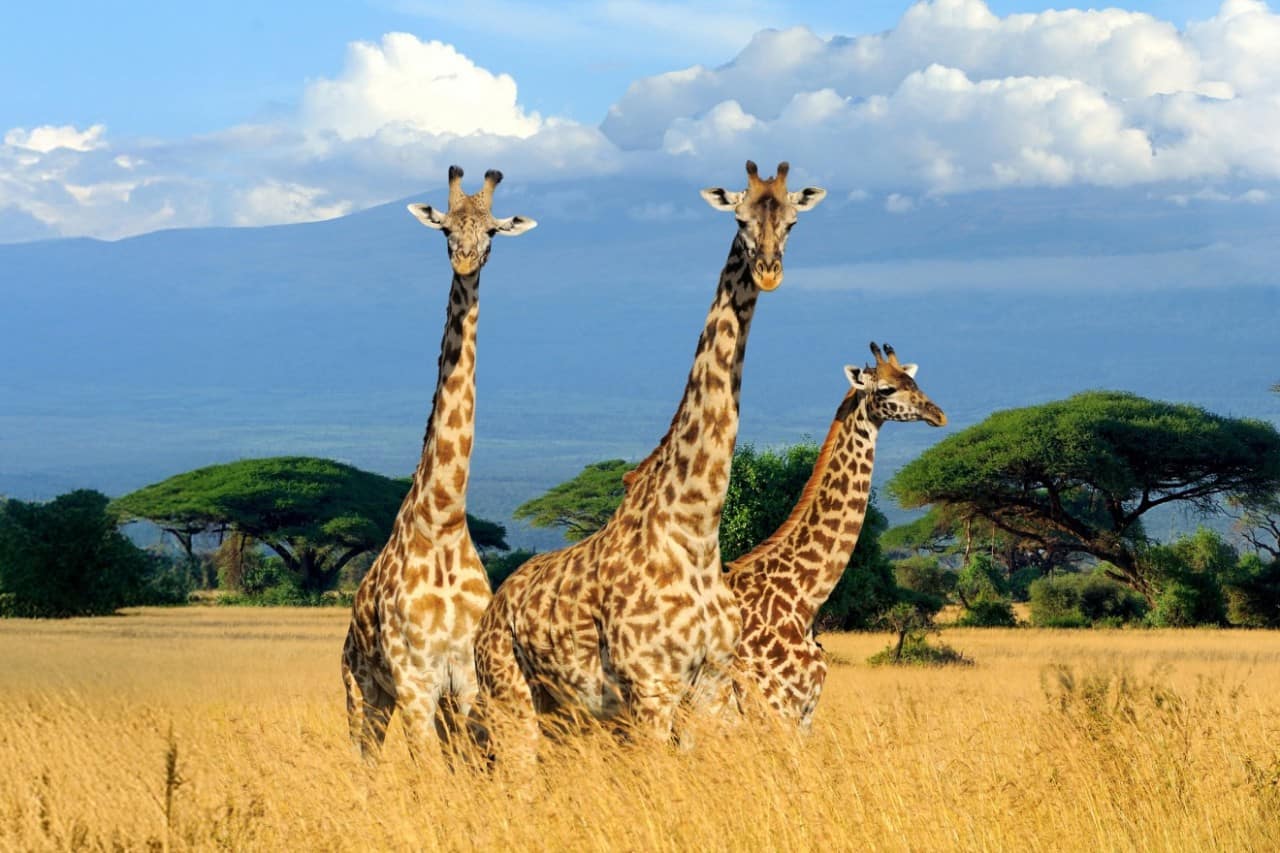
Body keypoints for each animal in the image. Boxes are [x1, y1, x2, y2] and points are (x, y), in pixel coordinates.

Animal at [341, 166, 536, 765]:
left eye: (492, 231)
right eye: (446, 228)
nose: (466, 261)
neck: (444, 519)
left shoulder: (466, 680)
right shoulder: (414, 681)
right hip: (362, 690)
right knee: (365, 760)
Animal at [473, 161, 827, 762]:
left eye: (793, 222)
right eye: (739, 218)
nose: (769, 272)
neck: (696, 529)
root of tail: (491, 612)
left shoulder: (709, 686)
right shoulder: (651, 688)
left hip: (563, 713)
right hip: (510, 696)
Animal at [724, 342, 945, 729]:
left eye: (914, 382)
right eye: (886, 389)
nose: (938, 414)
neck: (803, 599)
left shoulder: (803, 713)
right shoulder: (775, 709)